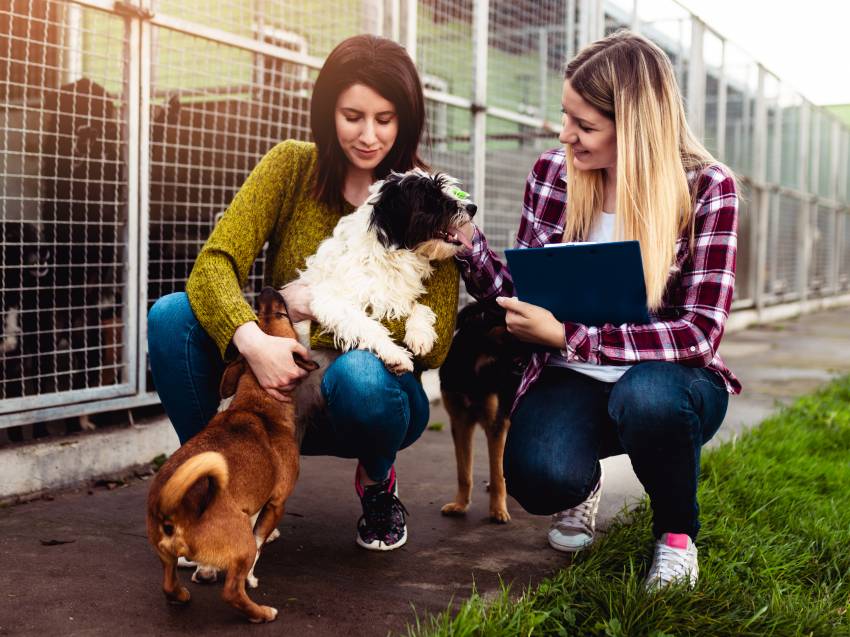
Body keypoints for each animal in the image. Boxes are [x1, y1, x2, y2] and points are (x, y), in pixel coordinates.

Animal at [146, 286, 318, 620]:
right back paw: (261, 612)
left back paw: (182, 594)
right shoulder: (276, 503)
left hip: (164, 555)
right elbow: (259, 539)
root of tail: (176, 507)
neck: (256, 403)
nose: (266, 289)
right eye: (282, 314)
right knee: (232, 591)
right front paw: (251, 575)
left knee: (168, 583)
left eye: (258, 313)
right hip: (239, 546)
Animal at [440, 302, 528, 520]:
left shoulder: (495, 424)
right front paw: (460, 505)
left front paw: (498, 510)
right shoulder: (460, 422)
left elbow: (496, 473)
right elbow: (463, 472)